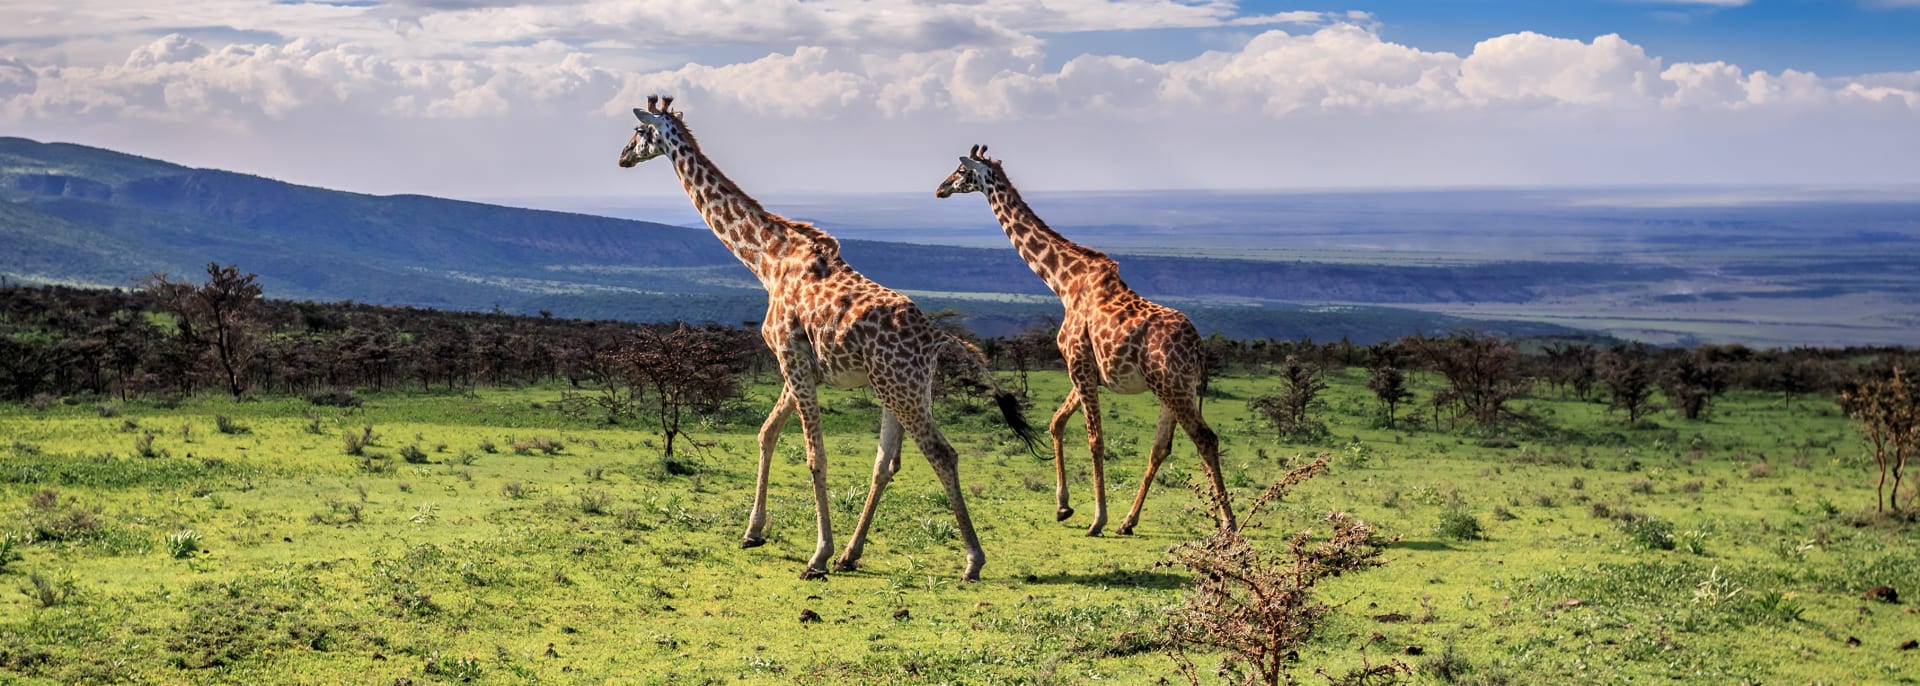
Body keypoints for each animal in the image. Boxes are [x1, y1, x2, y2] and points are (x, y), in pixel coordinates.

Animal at [614, 96, 1036, 576]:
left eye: (639, 131)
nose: (622, 156)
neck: (767, 260)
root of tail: (936, 337)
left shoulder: (790, 358)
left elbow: (815, 457)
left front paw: (817, 554)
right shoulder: (798, 365)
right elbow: (766, 435)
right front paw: (753, 532)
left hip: (901, 390)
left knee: (941, 453)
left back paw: (970, 560)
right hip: (901, 389)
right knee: (887, 463)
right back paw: (852, 555)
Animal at [936, 144, 1236, 538]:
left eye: (960, 170)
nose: (939, 189)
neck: (1064, 282)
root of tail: (1199, 346)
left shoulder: (1077, 363)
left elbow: (1095, 439)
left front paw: (1096, 519)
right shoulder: (1087, 371)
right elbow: (1056, 423)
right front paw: (1063, 507)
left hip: (1173, 387)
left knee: (1205, 438)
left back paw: (1228, 523)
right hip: (1170, 390)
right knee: (1161, 448)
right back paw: (1129, 522)